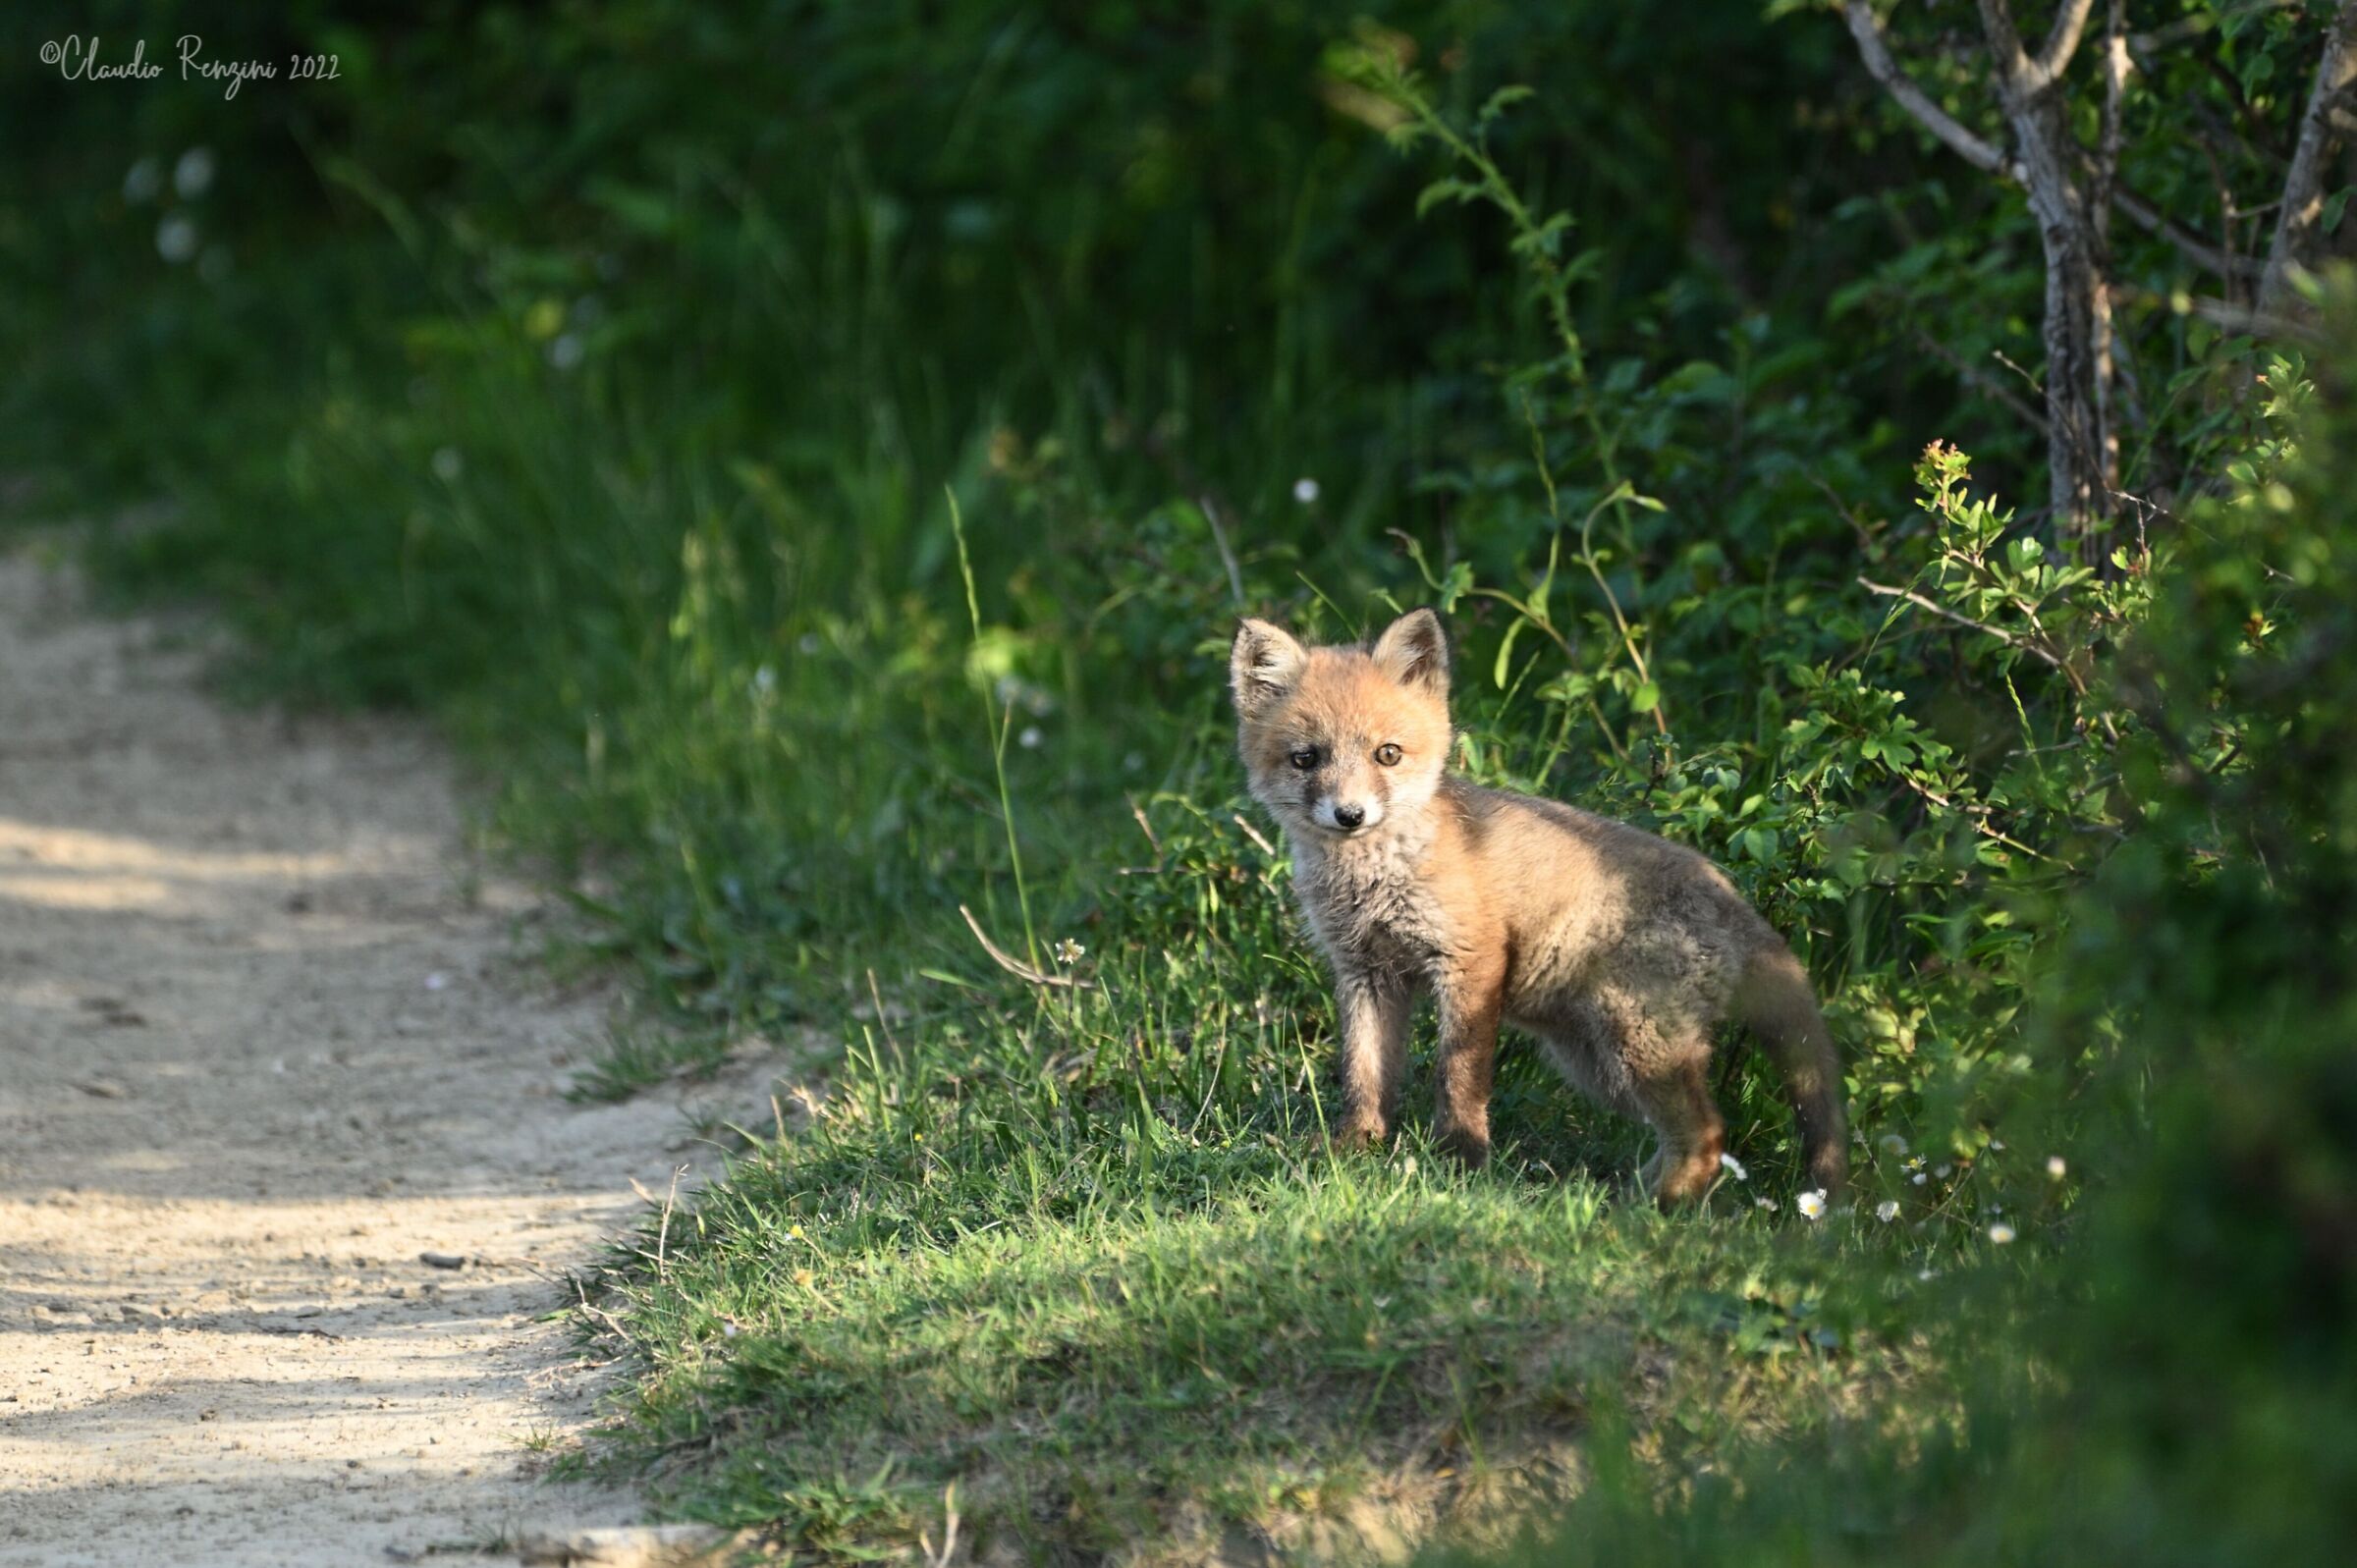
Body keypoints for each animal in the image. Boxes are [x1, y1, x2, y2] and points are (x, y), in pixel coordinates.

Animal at [1230, 607, 1847, 1203]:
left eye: (1387, 754)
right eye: (1306, 759)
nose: (1350, 815)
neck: (1376, 879)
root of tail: (1738, 902)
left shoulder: (1470, 961)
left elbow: (1459, 1075)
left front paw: (1460, 1161)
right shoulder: (1367, 972)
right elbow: (1364, 1074)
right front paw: (1354, 1148)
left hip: (1639, 1044)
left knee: (1708, 1138)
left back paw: (1644, 1212)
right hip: (1600, 1064)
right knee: (1687, 1137)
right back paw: (1620, 1196)